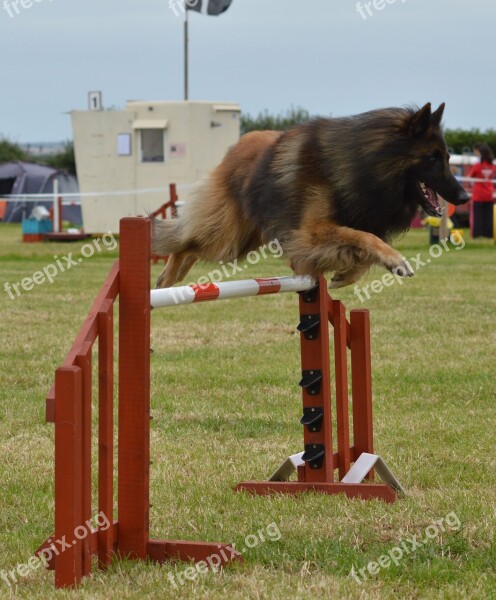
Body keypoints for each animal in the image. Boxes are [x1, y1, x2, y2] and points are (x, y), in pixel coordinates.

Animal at [151, 102, 468, 290]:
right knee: (184, 242)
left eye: (448, 157)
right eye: (433, 158)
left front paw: (345, 276)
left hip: (245, 239)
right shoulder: (312, 231)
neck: (363, 166)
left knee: (190, 245)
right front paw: (396, 261)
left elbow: (363, 248)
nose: (464, 196)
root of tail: (236, 147)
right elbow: (364, 238)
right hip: (228, 236)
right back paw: (167, 279)